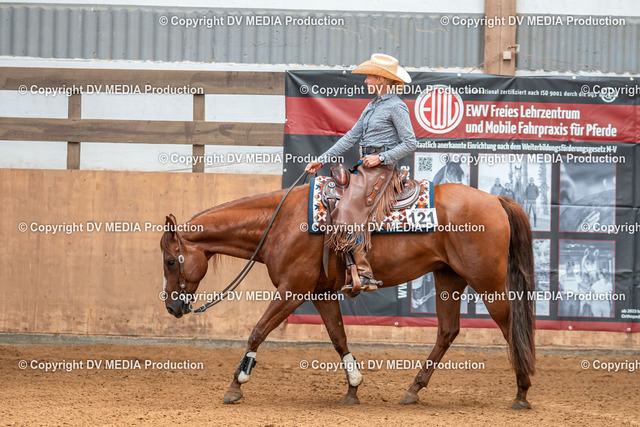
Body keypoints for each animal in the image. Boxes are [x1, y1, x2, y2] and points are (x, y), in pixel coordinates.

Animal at [160, 182, 536, 409]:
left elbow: (258, 331)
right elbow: (338, 338)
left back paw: (522, 390)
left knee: (510, 327)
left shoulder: (292, 290)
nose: (172, 306)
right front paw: (353, 387)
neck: (281, 223)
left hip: (486, 282)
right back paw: (413, 390)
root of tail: (495, 200)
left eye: (169, 260)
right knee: (447, 331)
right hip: (448, 278)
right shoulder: (321, 294)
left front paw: (236, 385)